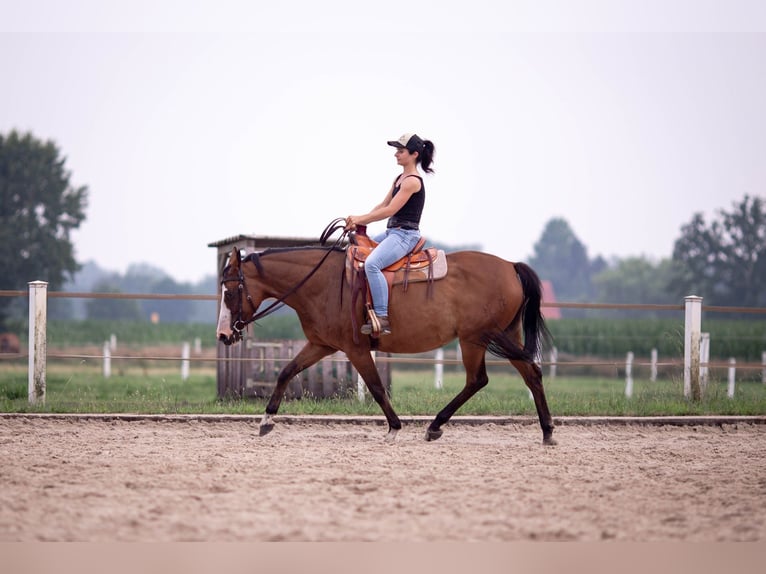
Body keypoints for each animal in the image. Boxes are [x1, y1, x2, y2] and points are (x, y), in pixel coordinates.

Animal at [216, 224, 560, 446]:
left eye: (230, 292)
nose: (223, 334)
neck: (323, 282)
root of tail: (510, 266)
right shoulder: (321, 344)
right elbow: (286, 371)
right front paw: (266, 420)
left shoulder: (355, 349)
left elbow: (377, 387)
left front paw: (394, 427)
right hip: (504, 335)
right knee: (530, 373)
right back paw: (546, 431)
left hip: (476, 338)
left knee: (479, 379)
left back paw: (435, 425)